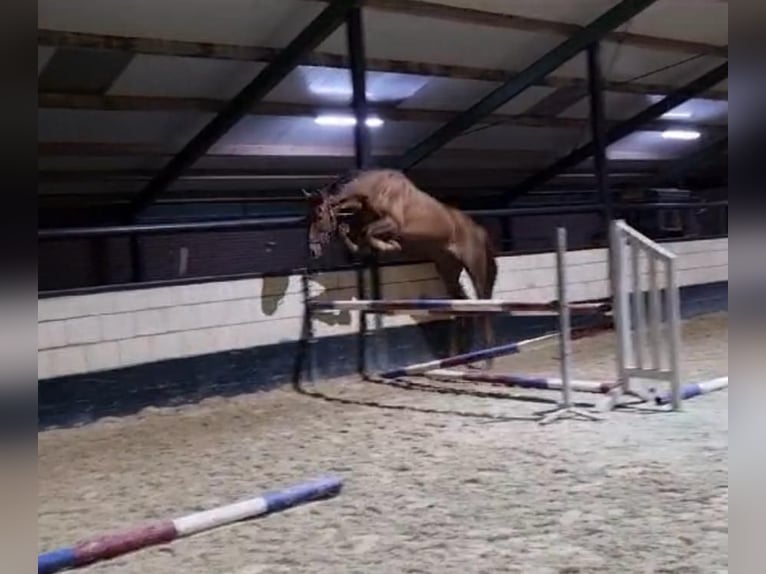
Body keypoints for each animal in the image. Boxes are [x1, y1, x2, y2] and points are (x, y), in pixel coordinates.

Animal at [306, 169, 504, 366]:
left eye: (319, 215)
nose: (313, 250)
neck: (375, 191)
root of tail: (479, 230)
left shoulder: (391, 223)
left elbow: (367, 233)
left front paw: (391, 246)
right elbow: (358, 236)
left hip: (475, 267)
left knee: (483, 303)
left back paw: (488, 358)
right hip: (448, 269)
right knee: (461, 304)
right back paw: (456, 356)